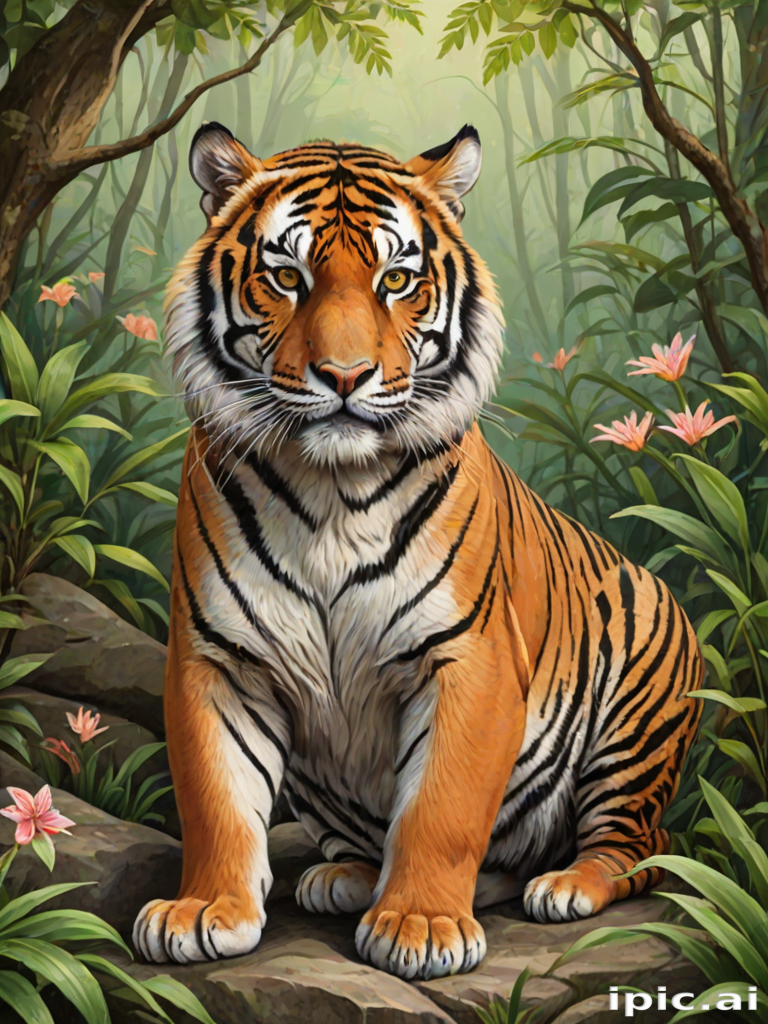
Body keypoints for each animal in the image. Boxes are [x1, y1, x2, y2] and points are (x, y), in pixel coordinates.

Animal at [132, 121, 703, 981]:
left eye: (397, 279)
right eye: (287, 276)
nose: (344, 376)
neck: (331, 493)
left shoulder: (468, 658)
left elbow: (443, 804)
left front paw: (421, 926)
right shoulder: (217, 657)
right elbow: (215, 796)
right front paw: (204, 910)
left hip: (634, 727)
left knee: (640, 844)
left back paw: (565, 885)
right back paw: (344, 875)